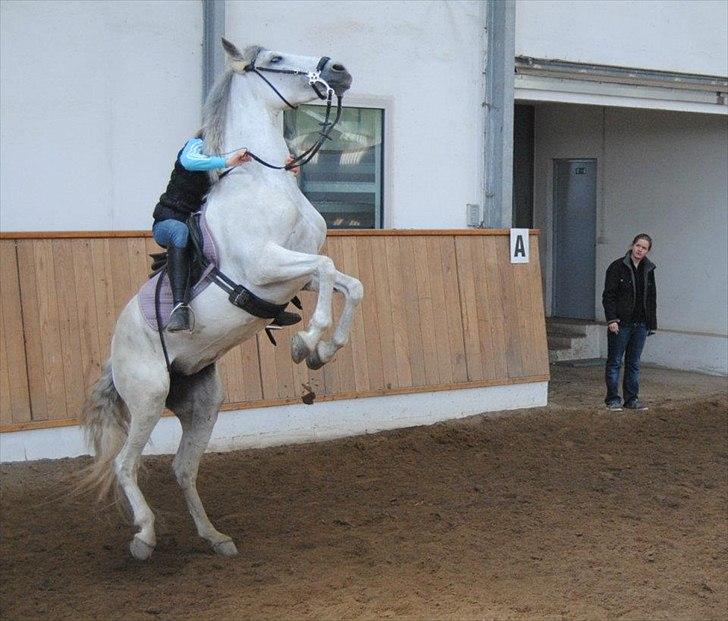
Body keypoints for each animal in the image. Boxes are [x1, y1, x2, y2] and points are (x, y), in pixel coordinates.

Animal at [84, 41, 364, 560]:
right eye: (274, 59)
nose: (339, 70)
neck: (263, 182)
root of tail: (114, 357)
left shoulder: (290, 279)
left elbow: (346, 282)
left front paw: (321, 351)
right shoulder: (264, 267)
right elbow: (327, 267)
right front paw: (307, 342)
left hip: (202, 403)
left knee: (183, 468)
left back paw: (214, 537)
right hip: (148, 397)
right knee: (125, 465)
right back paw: (145, 536)